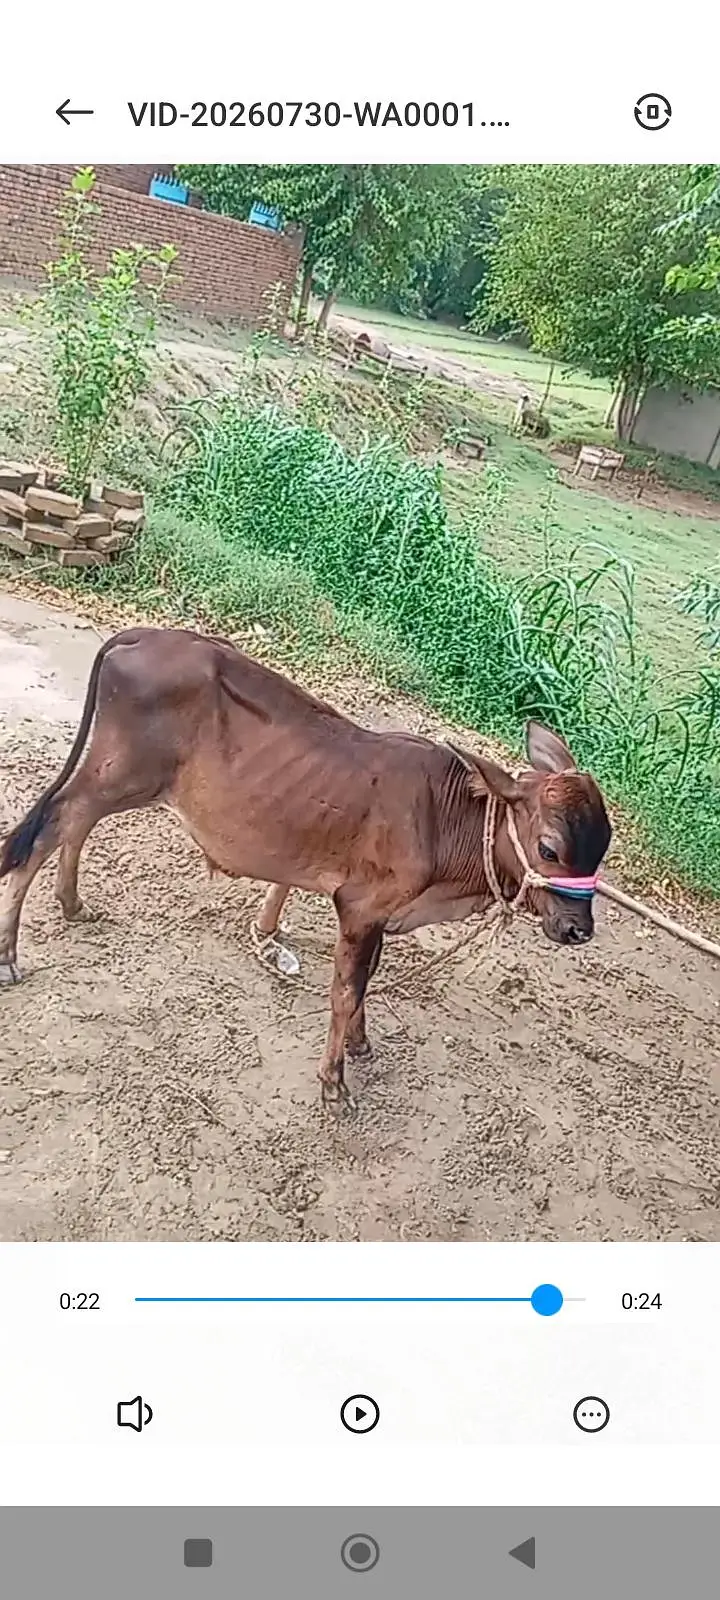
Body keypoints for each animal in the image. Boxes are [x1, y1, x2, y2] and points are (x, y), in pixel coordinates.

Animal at [0, 627, 611, 1107]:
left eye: (601, 849)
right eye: (550, 849)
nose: (578, 930)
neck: (447, 820)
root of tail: (140, 635)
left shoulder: (380, 915)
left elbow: (365, 983)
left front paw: (360, 1044)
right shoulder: (360, 908)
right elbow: (345, 990)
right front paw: (334, 1085)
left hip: (120, 778)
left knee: (75, 822)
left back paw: (72, 904)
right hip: (123, 773)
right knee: (51, 828)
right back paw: (10, 956)